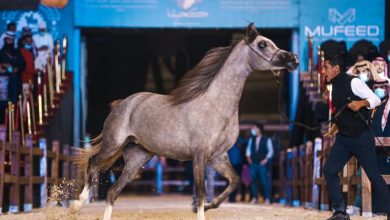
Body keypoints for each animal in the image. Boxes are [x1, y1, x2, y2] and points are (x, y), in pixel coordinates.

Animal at [68, 23, 298, 219]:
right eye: (262, 44)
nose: (293, 59)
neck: (216, 105)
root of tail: (121, 104)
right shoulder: (200, 155)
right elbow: (200, 191)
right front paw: (200, 208)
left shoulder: (218, 157)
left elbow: (234, 182)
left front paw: (209, 205)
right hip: (113, 144)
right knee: (93, 163)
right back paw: (77, 204)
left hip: (137, 159)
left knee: (112, 192)